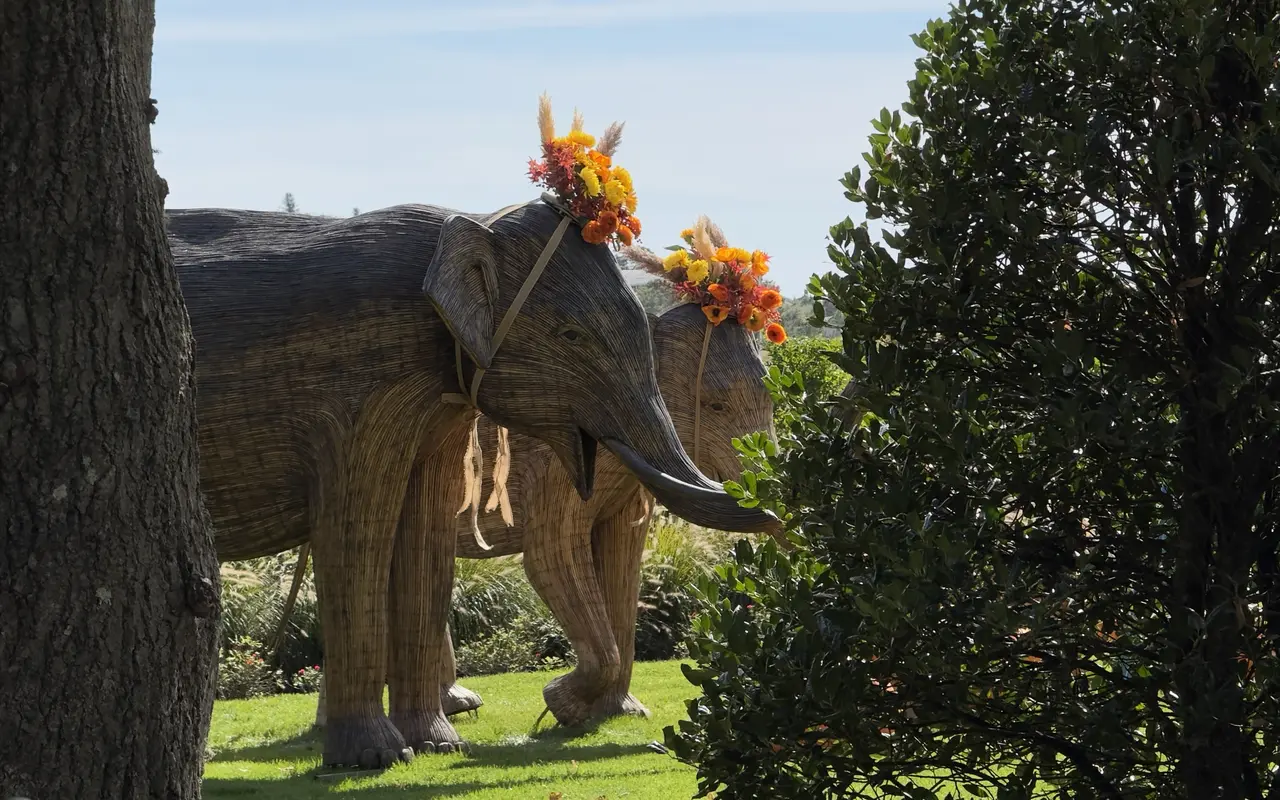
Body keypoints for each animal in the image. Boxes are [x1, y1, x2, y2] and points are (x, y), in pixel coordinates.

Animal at [311, 300, 774, 727]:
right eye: (715, 406)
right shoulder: (555, 468)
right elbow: (551, 554)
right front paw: (562, 707)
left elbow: (624, 564)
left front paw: (621, 712)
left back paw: (456, 706)